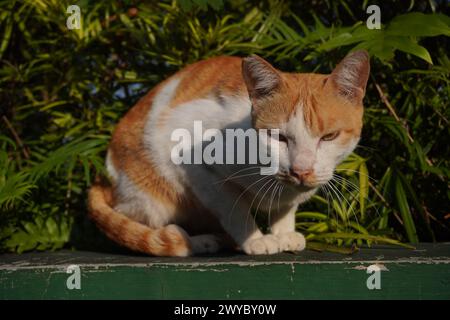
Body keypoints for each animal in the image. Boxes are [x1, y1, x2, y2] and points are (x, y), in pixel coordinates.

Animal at [87, 51, 370, 258]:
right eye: (278, 137)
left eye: (329, 137)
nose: (301, 170)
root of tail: (104, 177)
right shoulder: (192, 160)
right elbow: (235, 210)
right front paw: (255, 240)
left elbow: (285, 208)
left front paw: (283, 233)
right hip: (152, 198)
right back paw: (201, 242)